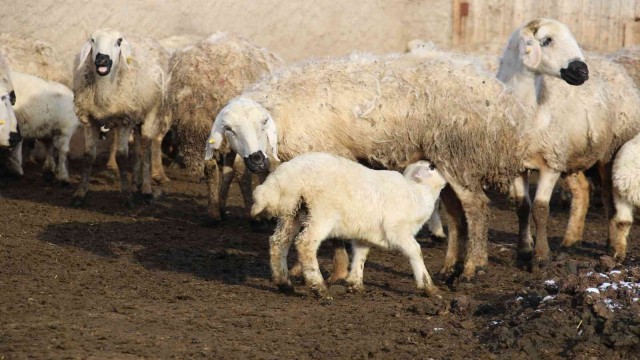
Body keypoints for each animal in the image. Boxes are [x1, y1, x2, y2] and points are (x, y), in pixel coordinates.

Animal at [71, 29, 169, 207]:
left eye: (119, 41)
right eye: (92, 40)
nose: (102, 59)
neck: (104, 92)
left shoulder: (125, 120)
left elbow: (122, 157)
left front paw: (127, 197)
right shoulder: (90, 120)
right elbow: (88, 157)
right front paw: (79, 195)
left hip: (152, 111)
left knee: (145, 150)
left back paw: (146, 190)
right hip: (137, 116)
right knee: (137, 148)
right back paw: (135, 184)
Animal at [206, 47, 540, 280]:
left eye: (263, 123)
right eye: (229, 129)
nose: (256, 159)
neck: (283, 113)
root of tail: (503, 100)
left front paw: (336, 272)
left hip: (458, 153)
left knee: (477, 208)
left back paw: (473, 268)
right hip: (442, 159)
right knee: (458, 217)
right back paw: (449, 269)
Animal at [250, 153, 444, 296]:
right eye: (431, 168)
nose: (432, 161)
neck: (419, 192)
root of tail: (285, 178)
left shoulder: (365, 233)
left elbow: (361, 254)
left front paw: (355, 283)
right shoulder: (397, 230)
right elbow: (415, 251)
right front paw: (428, 287)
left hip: (292, 211)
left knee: (278, 242)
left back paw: (284, 283)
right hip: (321, 213)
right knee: (305, 243)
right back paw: (319, 287)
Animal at [498, 17, 640, 264]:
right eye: (546, 40)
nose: (582, 71)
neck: (533, 108)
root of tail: (611, 63)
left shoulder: (551, 164)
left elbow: (540, 209)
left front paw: (541, 257)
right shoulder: (515, 164)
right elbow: (523, 207)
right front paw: (523, 251)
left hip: (609, 153)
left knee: (609, 199)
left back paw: (611, 244)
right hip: (574, 154)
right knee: (582, 191)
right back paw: (571, 239)